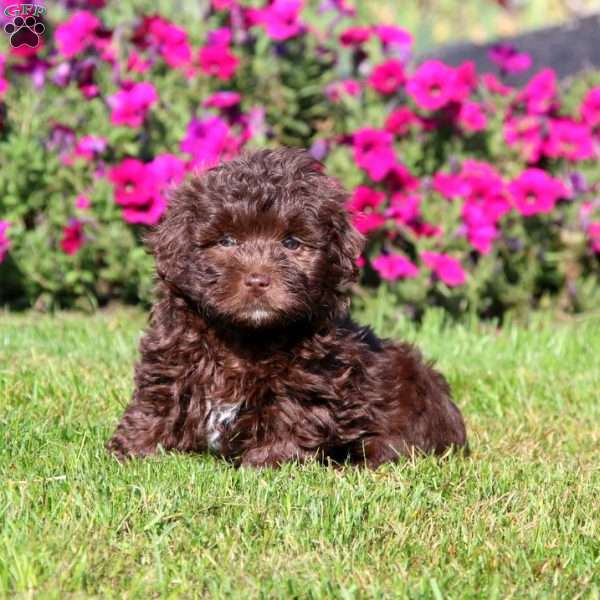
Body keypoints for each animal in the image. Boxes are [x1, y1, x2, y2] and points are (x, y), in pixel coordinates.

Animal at [105, 148, 466, 466]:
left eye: (291, 243)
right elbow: (159, 399)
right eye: (226, 241)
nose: (257, 280)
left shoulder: (308, 376)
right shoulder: (173, 355)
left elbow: (290, 413)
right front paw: (134, 450)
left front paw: (270, 462)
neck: (245, 336)